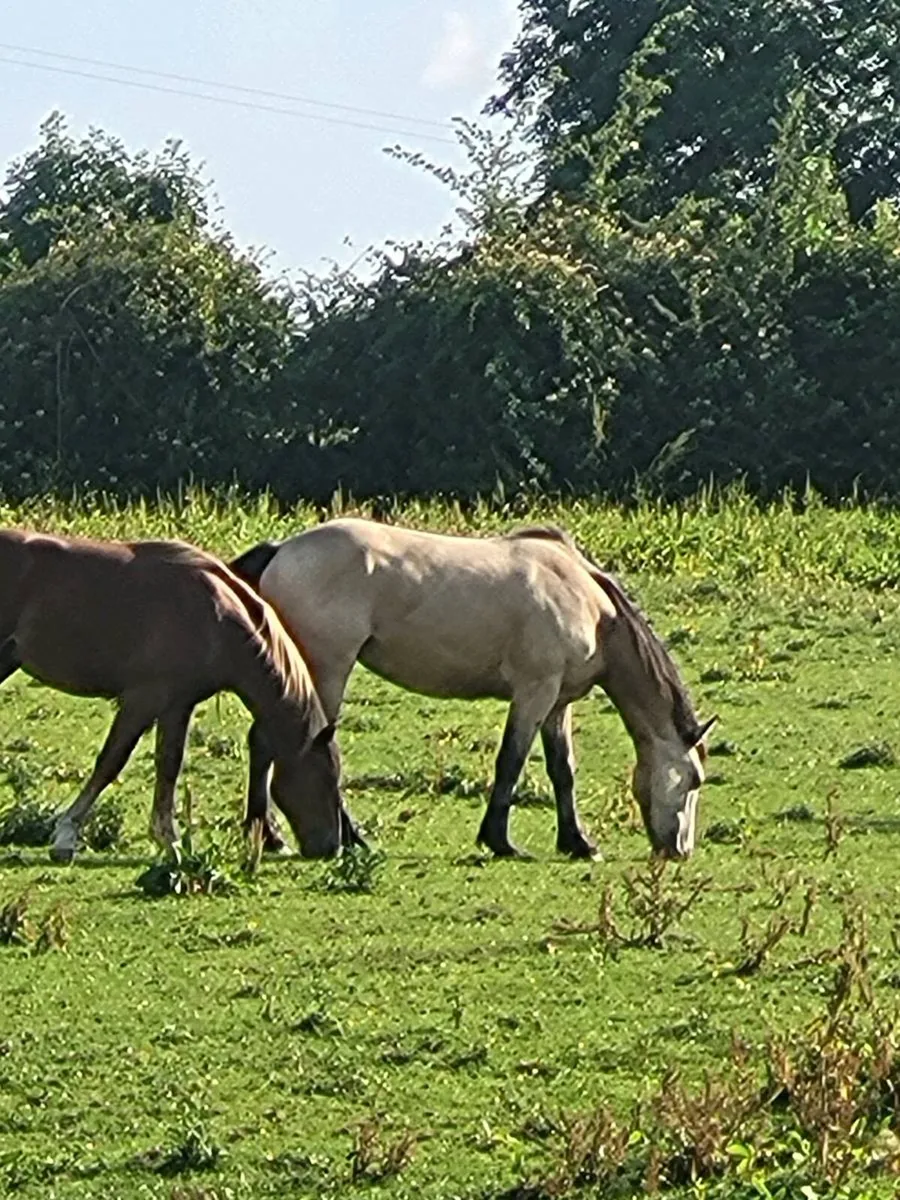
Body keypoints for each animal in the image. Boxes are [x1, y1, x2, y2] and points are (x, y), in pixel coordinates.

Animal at [0, 529, 345, 863]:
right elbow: (111, 762)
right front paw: (65, 836)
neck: (216, 615)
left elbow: (169, 765)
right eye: (326, 779)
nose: (332, 847)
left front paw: (170, 841)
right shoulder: (143, 699)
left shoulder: (178, 706)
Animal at [230, 519, 717, 861]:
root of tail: (281, 551)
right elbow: (511, 761)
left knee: (263, 742)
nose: (680, 851)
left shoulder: (556, 703)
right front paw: (500, 841)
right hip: (326, 671)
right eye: (694, 779)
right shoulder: (534, 692)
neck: (592, 606)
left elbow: (563, 770)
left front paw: (578, 843)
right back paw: (343, 837)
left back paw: (270, 835)